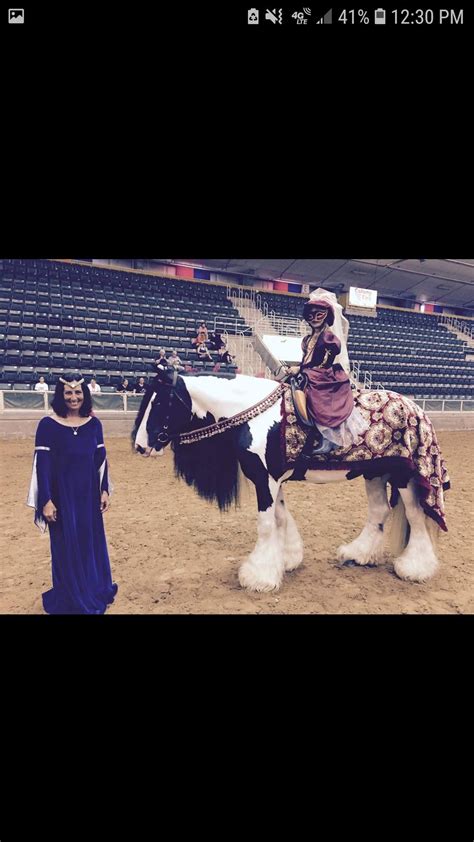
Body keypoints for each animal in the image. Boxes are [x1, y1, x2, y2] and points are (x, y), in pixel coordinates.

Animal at [132, 368, 444, 592]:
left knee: (416, 517)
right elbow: (281, 518)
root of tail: (416, 409)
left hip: (404, 479)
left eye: (159, 402)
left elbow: (266, 525)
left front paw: (258, 576)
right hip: (375, 473)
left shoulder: (264, 479)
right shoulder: (272, 481)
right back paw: (359, 555)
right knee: (379, 512)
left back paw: (414, 569)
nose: (139, 445)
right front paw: (285, 559)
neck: (254, 414)